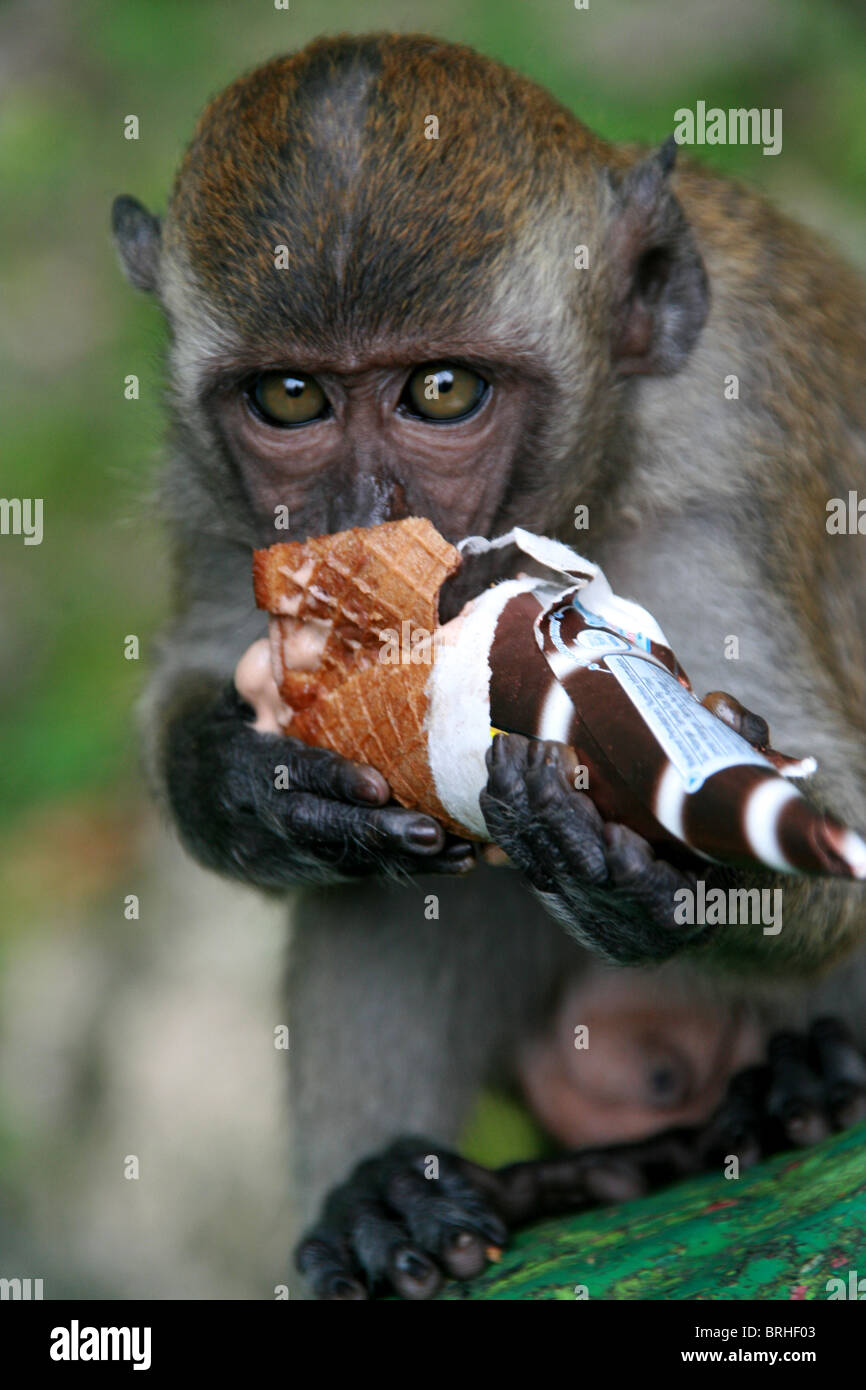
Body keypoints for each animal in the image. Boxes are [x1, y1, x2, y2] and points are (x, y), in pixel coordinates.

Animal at [113, 32, 866, 1295]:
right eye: (289, 396)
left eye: (443, 390)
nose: (360, 519)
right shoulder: (207, 483)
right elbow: (198, 679)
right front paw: (244, 780)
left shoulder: (731, 444)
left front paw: (654, 867)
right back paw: (389, 1204)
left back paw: (806, 1086)